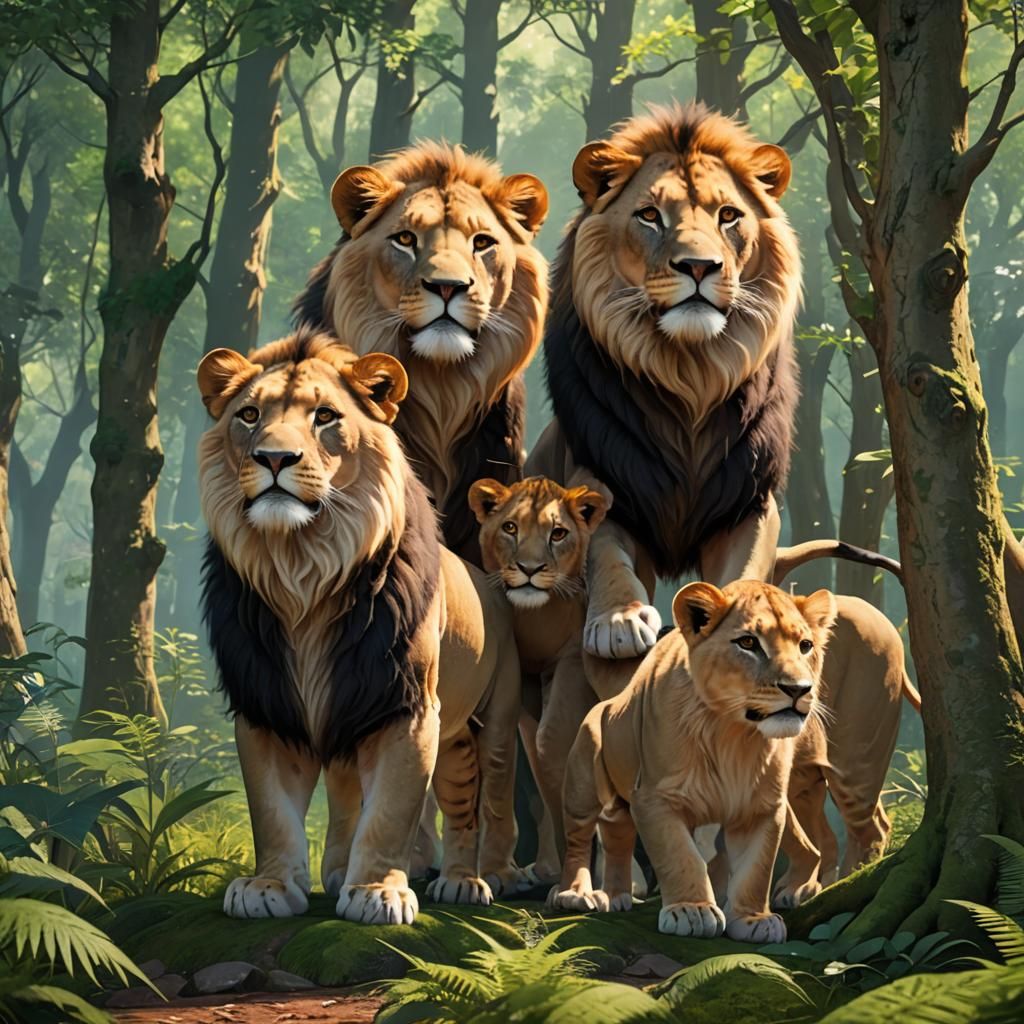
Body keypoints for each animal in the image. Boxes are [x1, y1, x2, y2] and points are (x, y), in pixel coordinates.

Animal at [197, 328, 524, 925]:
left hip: (493, 718)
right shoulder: (266, 705)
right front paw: (269, 887)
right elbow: (271, 809)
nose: (274, 457)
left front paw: (377, 892)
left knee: (481, 800)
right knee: (371, 792)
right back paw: (338, 870)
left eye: (325, 416)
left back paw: (475, 880)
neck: (302, 570)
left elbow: (392, 808)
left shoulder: (405, 706)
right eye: (249, 415)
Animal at [549, 580, 838, 944]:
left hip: (621, 804)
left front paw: (753, 919)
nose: (799, 689)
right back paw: (575, 894)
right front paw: (692, 911)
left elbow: (756, 867)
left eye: (805, 646)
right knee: (578, 837)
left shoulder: (761, 808)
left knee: (617, 835)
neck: (735, 736)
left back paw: (617, 897)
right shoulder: (655, 798)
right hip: (583, 782)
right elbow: (680, 856)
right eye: (748, 642)